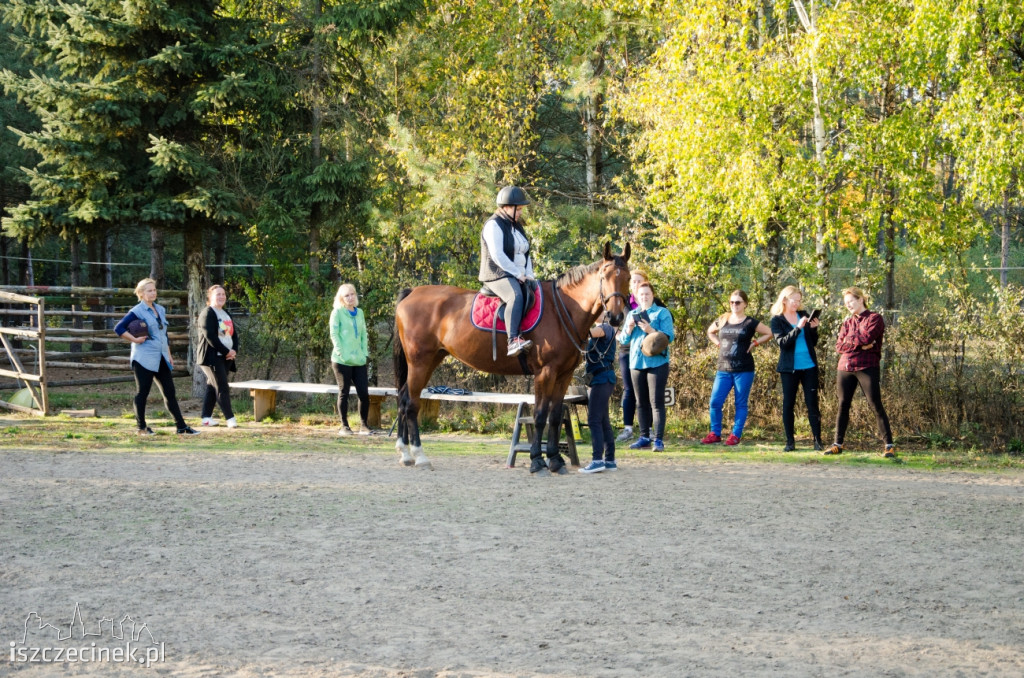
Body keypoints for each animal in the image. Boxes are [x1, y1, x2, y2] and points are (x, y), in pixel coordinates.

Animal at [391, 241, 630, 475]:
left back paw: (405, 453)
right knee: (411, 404)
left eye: (627, 278)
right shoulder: (545, 372)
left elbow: (554, 417)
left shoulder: (564, 375)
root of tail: (412, 293)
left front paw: (554, 460)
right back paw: (420, 456)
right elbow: (540, 415)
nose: (616, 317)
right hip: (420, 362)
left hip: (430, 360)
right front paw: (537, 461)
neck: (563, 310)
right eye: (605, 277)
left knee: (403, 399)